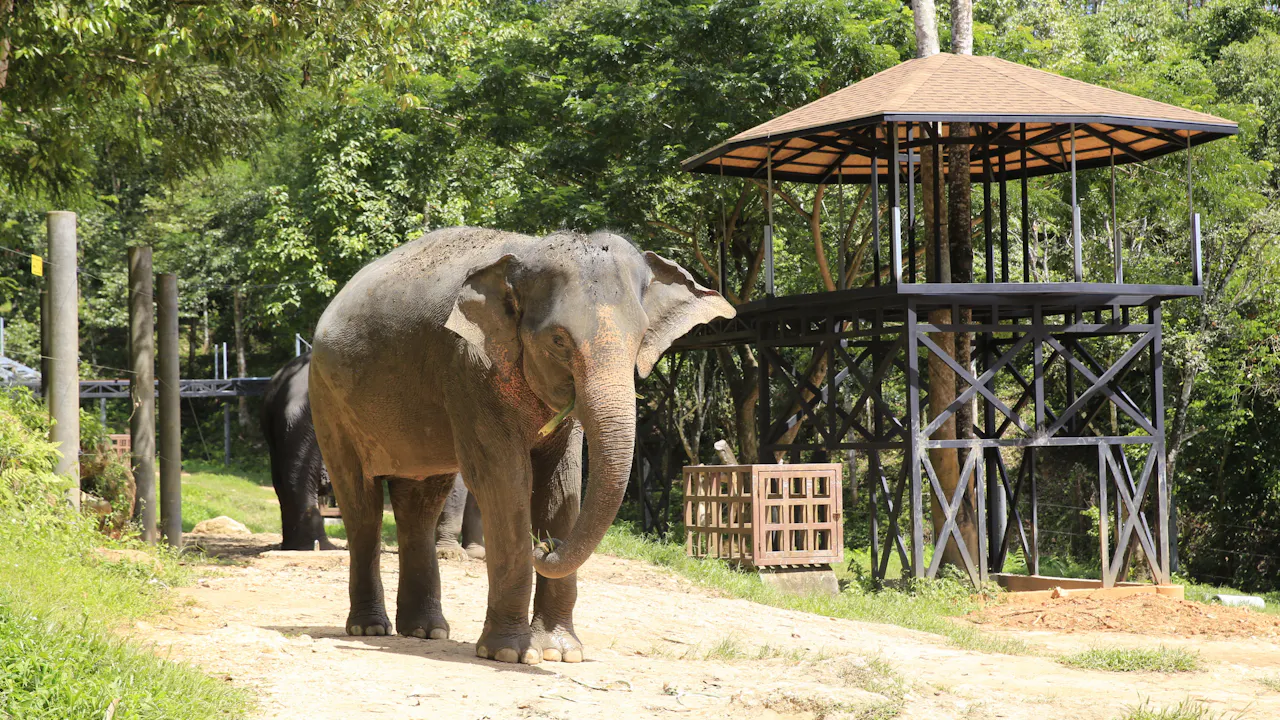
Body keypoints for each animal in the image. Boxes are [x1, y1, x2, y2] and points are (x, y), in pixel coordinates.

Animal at [309, 227, 734, 664]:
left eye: (640, 338)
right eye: (559, 340)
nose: (546, 546)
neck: (526, 252)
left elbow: (561, 486)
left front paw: (560, 653)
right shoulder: (469, 367)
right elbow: (504, 482)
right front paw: (509, 654)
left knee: (420, 504)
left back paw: (426, 631)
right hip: (327, 400)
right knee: (362, 506)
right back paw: (369, 628)